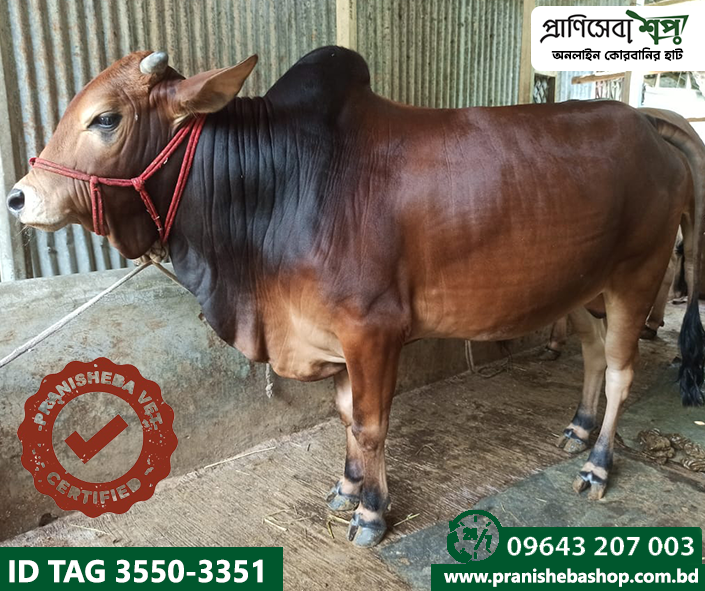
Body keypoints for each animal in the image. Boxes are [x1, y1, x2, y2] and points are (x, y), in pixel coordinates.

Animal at [7, 47, 705, 547]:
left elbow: (370, 424)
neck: (280, 186)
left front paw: (371, 513)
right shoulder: (331, 336)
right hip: (582, 286)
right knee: (590, 353)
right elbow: (344, 415)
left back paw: (600, 464)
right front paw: (345, 488)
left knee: (619, 371)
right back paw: (578, 429)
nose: (19, 198)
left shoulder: (374, 331)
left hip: (636, 275)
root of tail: (646, 123)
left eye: (106, 118)